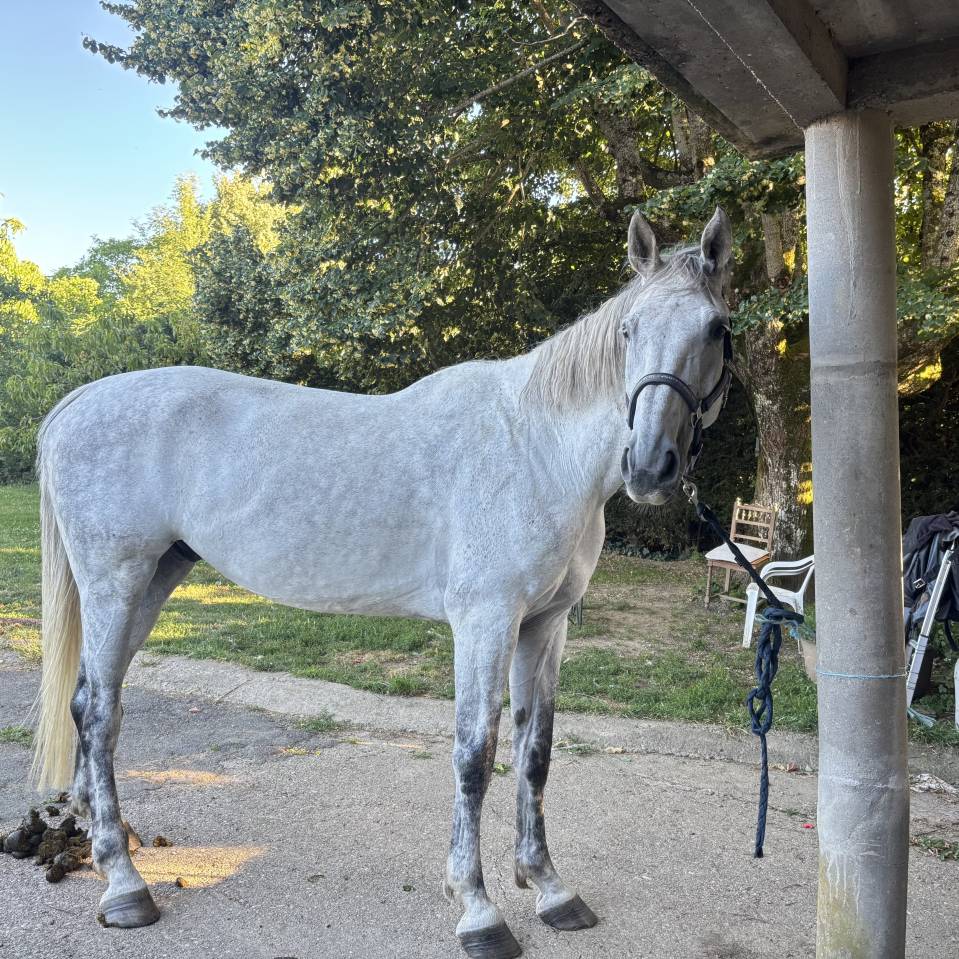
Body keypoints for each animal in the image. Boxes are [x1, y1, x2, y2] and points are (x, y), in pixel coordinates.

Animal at [31, 208, 733, 958]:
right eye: (628, 329)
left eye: (715, 329)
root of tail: (79, 400)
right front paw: (478, 908)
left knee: (93, 700)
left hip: (156, 578)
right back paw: (125, 885)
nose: (650, 466)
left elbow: (535, 751)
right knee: (99, 710)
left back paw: (105, 842)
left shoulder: (545, 626)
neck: (535, 445)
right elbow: (476, 754)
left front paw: (549, 889)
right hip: (116, 581)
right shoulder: (485, 621)